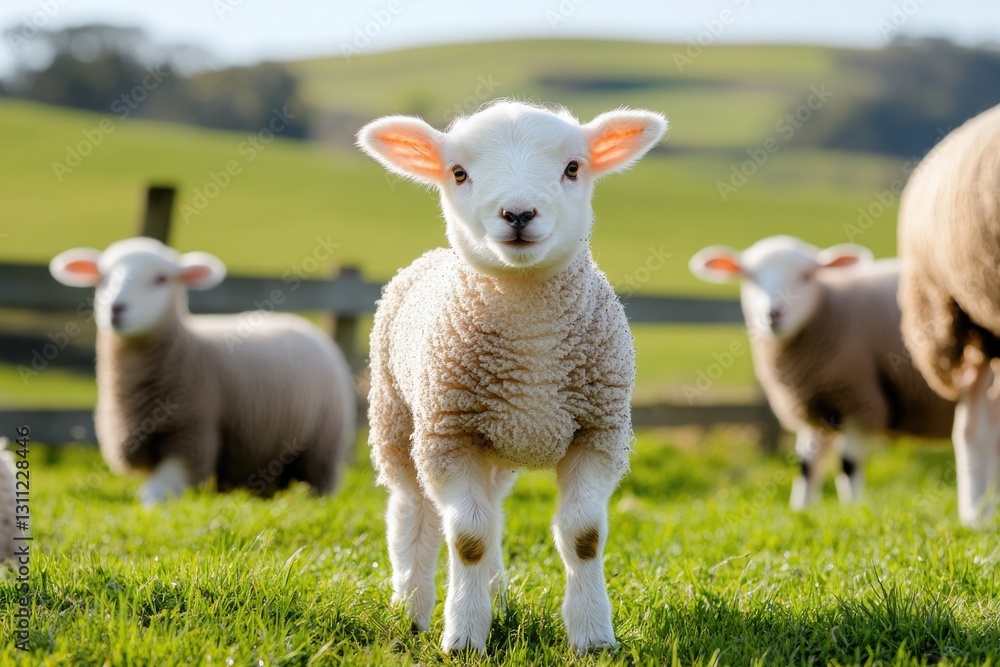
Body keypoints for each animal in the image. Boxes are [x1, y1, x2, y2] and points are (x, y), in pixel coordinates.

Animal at [48, 238, 356, 506]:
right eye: (103, 277)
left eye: (161, 279)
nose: (116, 309)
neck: (186, 348)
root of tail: (304, 324)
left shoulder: (191, 435)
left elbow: (155, 493)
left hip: (322, 443)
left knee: (319, 481)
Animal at [356, 100, 667, 654]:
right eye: (459, 172)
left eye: (573, 167)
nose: (518, 214)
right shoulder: (450, 437)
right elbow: (468, 540)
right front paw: (462, 638)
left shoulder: (599, 432)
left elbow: (583, 536)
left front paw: (593, 637)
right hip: (397, 422)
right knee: (414, 513)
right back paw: (410, 608)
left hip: (494, 447)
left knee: (493, 512)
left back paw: (497, 597)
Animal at [690, 236, 955, 509]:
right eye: (750, 276)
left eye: (807, 275)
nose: (774, 314)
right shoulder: (814, 409)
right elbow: (807, 466)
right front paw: (801, 509)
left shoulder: (861, 403)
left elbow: (848, 464)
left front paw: (852, 508)